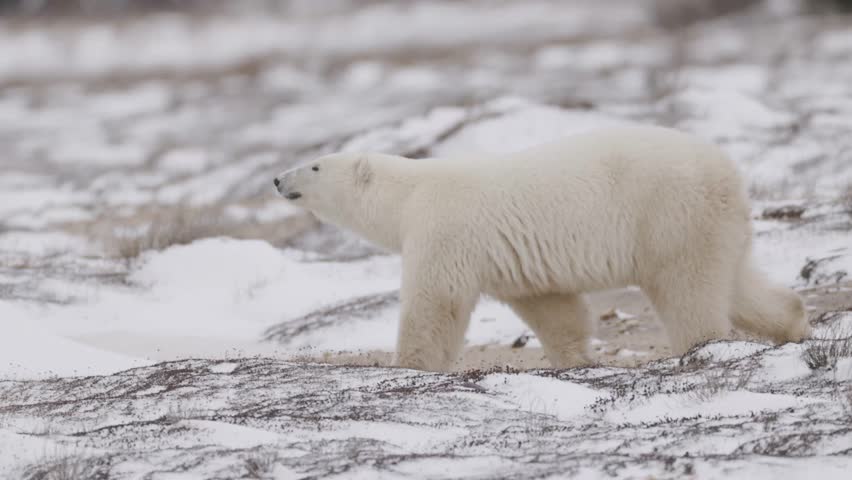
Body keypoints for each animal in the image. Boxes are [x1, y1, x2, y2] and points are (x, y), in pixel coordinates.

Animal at [273, 125, 809, 372]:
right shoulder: (511, 259)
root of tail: (727, 171)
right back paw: (794, 323)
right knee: (736, 282)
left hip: (669, 214)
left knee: (687, 288)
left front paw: (408, 366)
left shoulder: (442, 229)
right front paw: (575, 358)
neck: (409, 193)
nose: (278, 179)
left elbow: (436, 301)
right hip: (714, 224)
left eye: (316, 165)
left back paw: (699, 347)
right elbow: (549, 305)